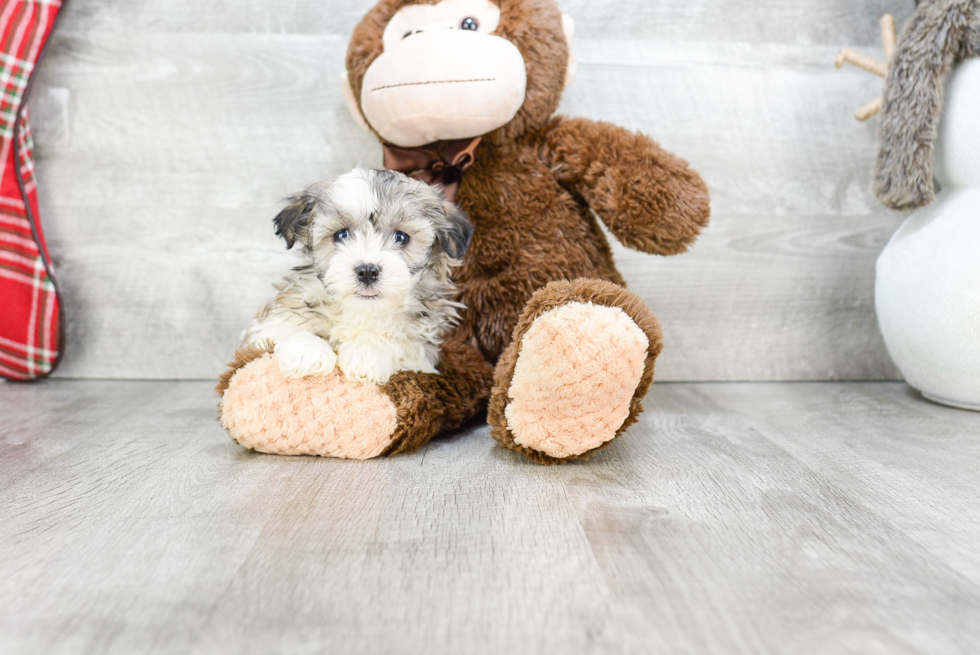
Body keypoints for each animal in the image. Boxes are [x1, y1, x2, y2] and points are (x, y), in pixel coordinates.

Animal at [245, 167, 474, 386]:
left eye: (401, 237)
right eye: (341, 235)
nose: (367, 271)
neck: (361, 311)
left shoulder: (422, 352)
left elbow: (402, 342)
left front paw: (366, 352)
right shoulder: (267, 325)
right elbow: (286, 326)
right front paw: (307, 351)